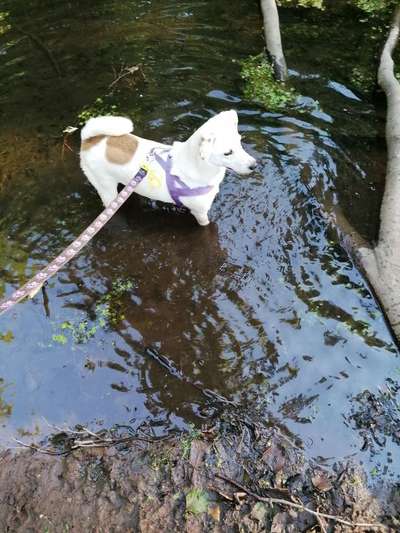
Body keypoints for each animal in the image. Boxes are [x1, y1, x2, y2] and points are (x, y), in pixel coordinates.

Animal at [79, 108, 256, 224]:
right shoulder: (200, 213)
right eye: (228, 153)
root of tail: (89, 139)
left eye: (240, 142)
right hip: (106, 189)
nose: (254, 165)